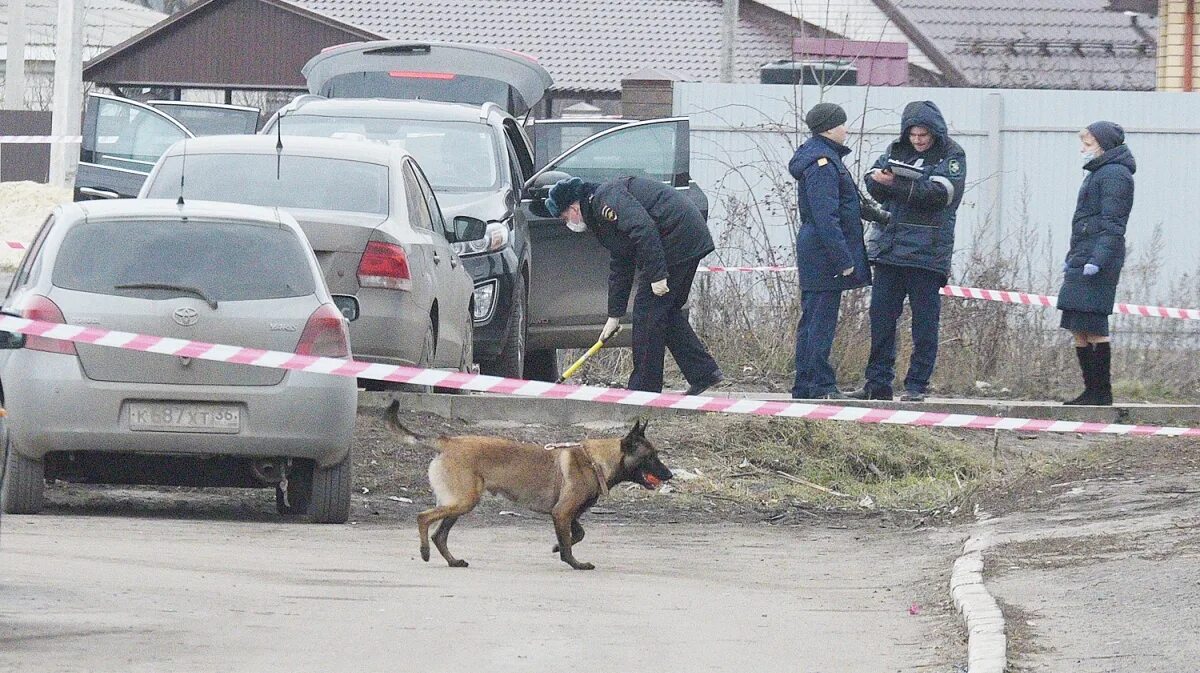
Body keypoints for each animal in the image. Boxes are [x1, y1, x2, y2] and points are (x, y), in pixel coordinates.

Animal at [388, 400, 681, 568]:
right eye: (651, 457)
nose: (670, 475)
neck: (595, 462)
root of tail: (447, 441)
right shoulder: (562, 512)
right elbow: (569, 543)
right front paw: (574, 562)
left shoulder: (569, 514)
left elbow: (577, 534)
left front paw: (557, 547)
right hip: (462, 501)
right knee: (423, 518)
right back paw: (424, 552)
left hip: (459, 503)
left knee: (439, 534)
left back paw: (452, 561)